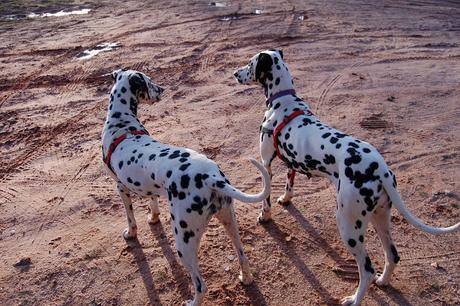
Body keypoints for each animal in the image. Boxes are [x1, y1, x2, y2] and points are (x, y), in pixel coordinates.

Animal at [102, 69, 272, 306]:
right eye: (149, 81)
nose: (162, 89)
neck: (122, 124)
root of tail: (211, 177)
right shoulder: (150, 187)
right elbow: (153, 204)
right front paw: (153, 218)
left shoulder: (120, 188)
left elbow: (130, 218)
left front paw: (130, 233)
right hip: (229, 221)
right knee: (243, 257)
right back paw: (245, 278)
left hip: (184, 242)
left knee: (201, 285)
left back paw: (192, 302)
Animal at [235, 49, 458, 304]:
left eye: (250, 64)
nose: (235, 73)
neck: (284, 102)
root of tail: (381, 169)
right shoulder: (291, 163)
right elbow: (289, 184)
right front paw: (286, 199)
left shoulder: (266, 164)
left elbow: (267, 198)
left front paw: (265, 216)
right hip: (380, 218)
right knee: (392, 256)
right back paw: (383, 281)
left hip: (348, 224)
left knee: (367, 269)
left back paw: (354, 299)